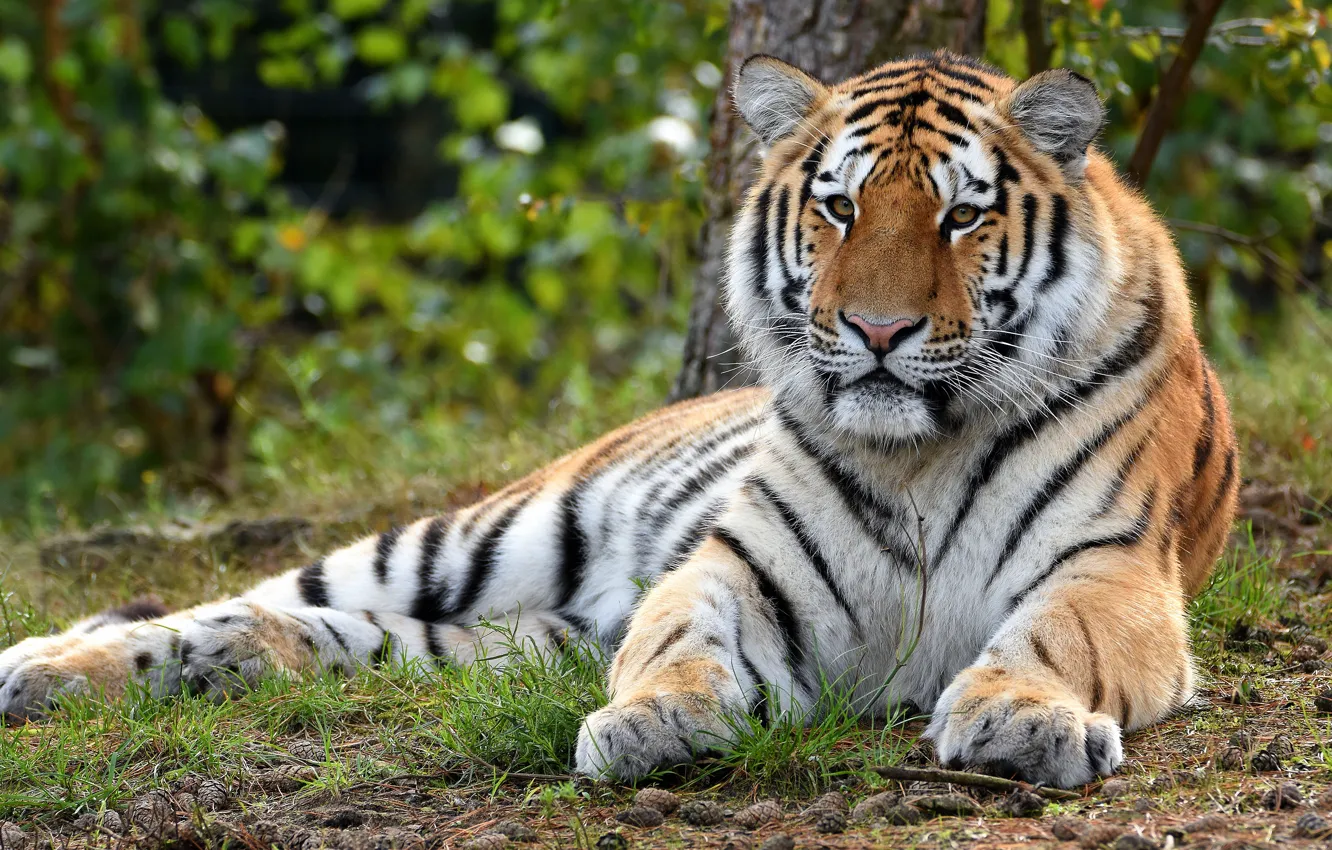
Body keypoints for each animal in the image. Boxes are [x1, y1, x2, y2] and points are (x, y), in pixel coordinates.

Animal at [0, 50, 1238, 789]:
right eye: (839, 208)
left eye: (961, 216)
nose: (879, 330)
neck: (915, 452)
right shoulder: (741, 565)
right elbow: (680, 636)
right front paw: (653, 723)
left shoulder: (1111, 567)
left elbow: (1053, 637)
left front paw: (1023, 720)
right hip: (472, 536)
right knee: (240, 595)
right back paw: (44, 665)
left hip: (498, 638)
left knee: (287, 630)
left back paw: (196, 665)